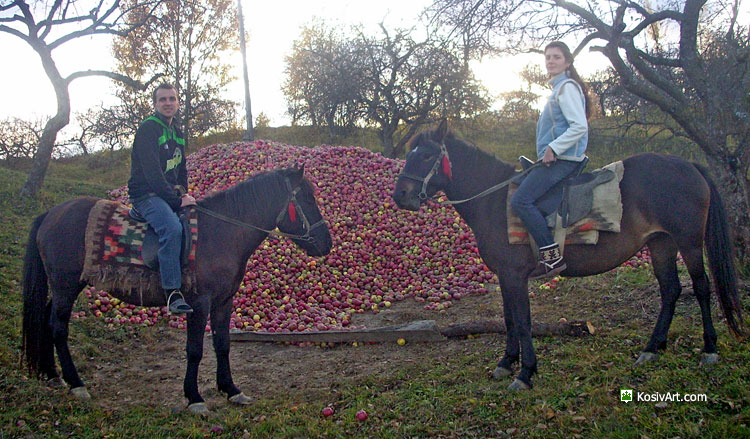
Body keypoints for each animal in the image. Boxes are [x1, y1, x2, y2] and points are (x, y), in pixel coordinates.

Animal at [22, 167, 332, 414]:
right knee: (59, 328)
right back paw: (76, 383)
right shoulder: (200, 303)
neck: (221, 233)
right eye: (307, 199)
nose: (326, 243)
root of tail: (51, 213)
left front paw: (231, 389)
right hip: (65, 284)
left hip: (62, 287)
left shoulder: (224, 302)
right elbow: (195, 350)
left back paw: (52, 374)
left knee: (47, 320)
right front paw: (194, 398)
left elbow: (223, 344)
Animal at [394, 121, 748, 392]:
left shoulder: (514, 275)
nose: (400, 196)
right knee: (671, 290)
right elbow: (509, 319)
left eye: (426, 155)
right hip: (661, 243)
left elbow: (522, 321)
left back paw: (709, 349)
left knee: (701, 289)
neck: (493, 200)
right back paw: (652, 348)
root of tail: (689, 165)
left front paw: (525, 372)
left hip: (689, 243)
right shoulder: (505, 276)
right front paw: (507, 363)